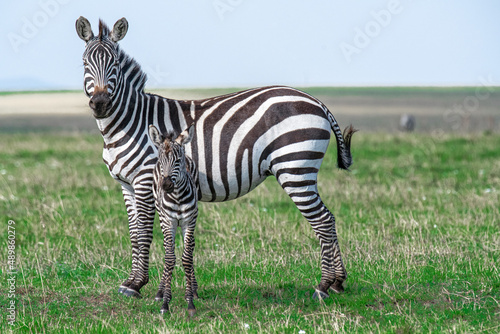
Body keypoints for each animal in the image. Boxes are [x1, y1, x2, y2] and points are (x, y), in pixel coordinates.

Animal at [148, 124, 197, 314]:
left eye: (178, 161)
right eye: (162, 161)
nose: (166, 185)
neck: (177, 197)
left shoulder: (189, 222)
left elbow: (187, 258)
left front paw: (190, 301)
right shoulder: (169, 222)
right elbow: (169, 258)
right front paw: (165, 302)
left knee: (191, 246)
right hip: (162, 217)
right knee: (166, 250)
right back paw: (160, 291)